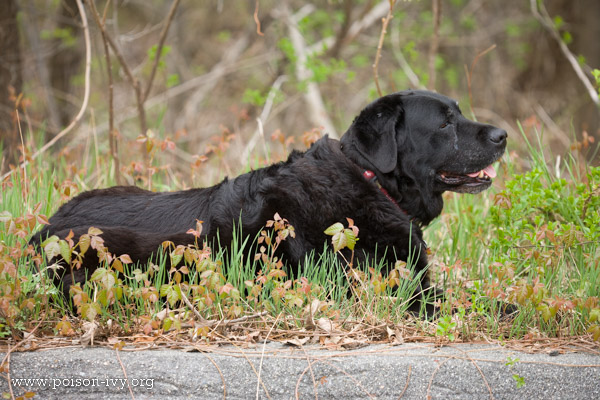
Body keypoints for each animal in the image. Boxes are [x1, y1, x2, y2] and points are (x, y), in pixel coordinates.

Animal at [29, 90, 506, 310]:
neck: (371, 182)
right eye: (444, 124)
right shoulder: (375, 290)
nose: (502, 134)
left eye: (458, 113)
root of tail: (43, 230)